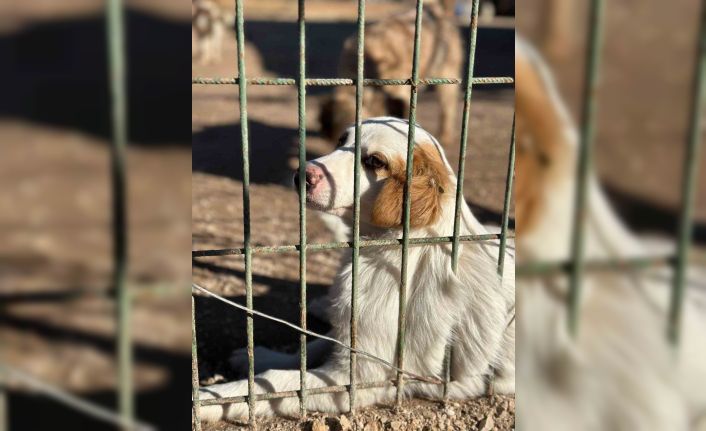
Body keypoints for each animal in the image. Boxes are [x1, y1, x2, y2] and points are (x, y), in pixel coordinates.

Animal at [195, 117, 516, 422]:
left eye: (374, 161)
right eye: (341, 141)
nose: (301, 174)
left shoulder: (360, 378)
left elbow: (277, 382)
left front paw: (209, 398)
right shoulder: (352, 337)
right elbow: (311, 347)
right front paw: (261, 356)